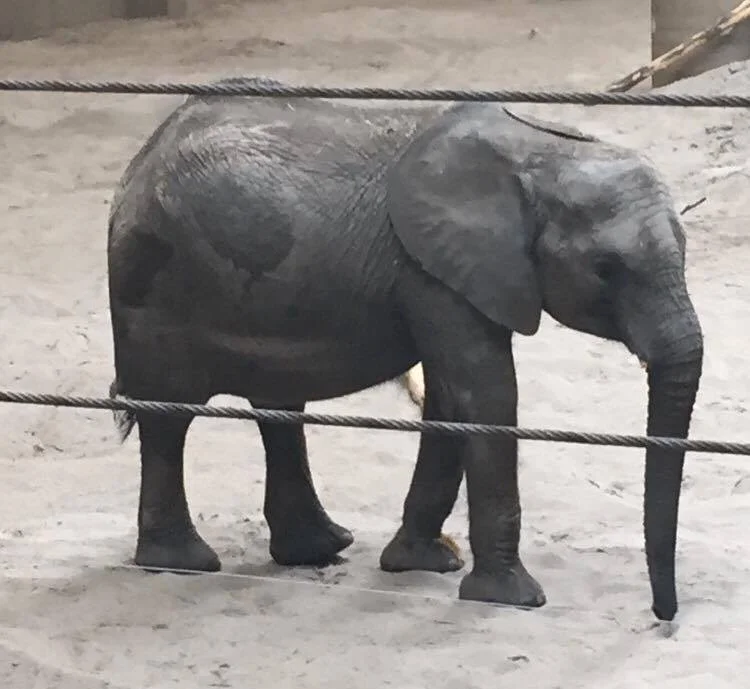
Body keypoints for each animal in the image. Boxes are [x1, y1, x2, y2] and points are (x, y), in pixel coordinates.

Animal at [107, 77, 703, 622]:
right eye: (605, 270)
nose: (662, 614)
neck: (542, 151)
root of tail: (141, 160)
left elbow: (452, 397)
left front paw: (420, 564)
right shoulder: (433, 269)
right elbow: (485, 393)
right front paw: (512, 599)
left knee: (278, 407)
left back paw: (319, 550)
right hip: (154, 285)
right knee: (170, 416)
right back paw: (183, 563)